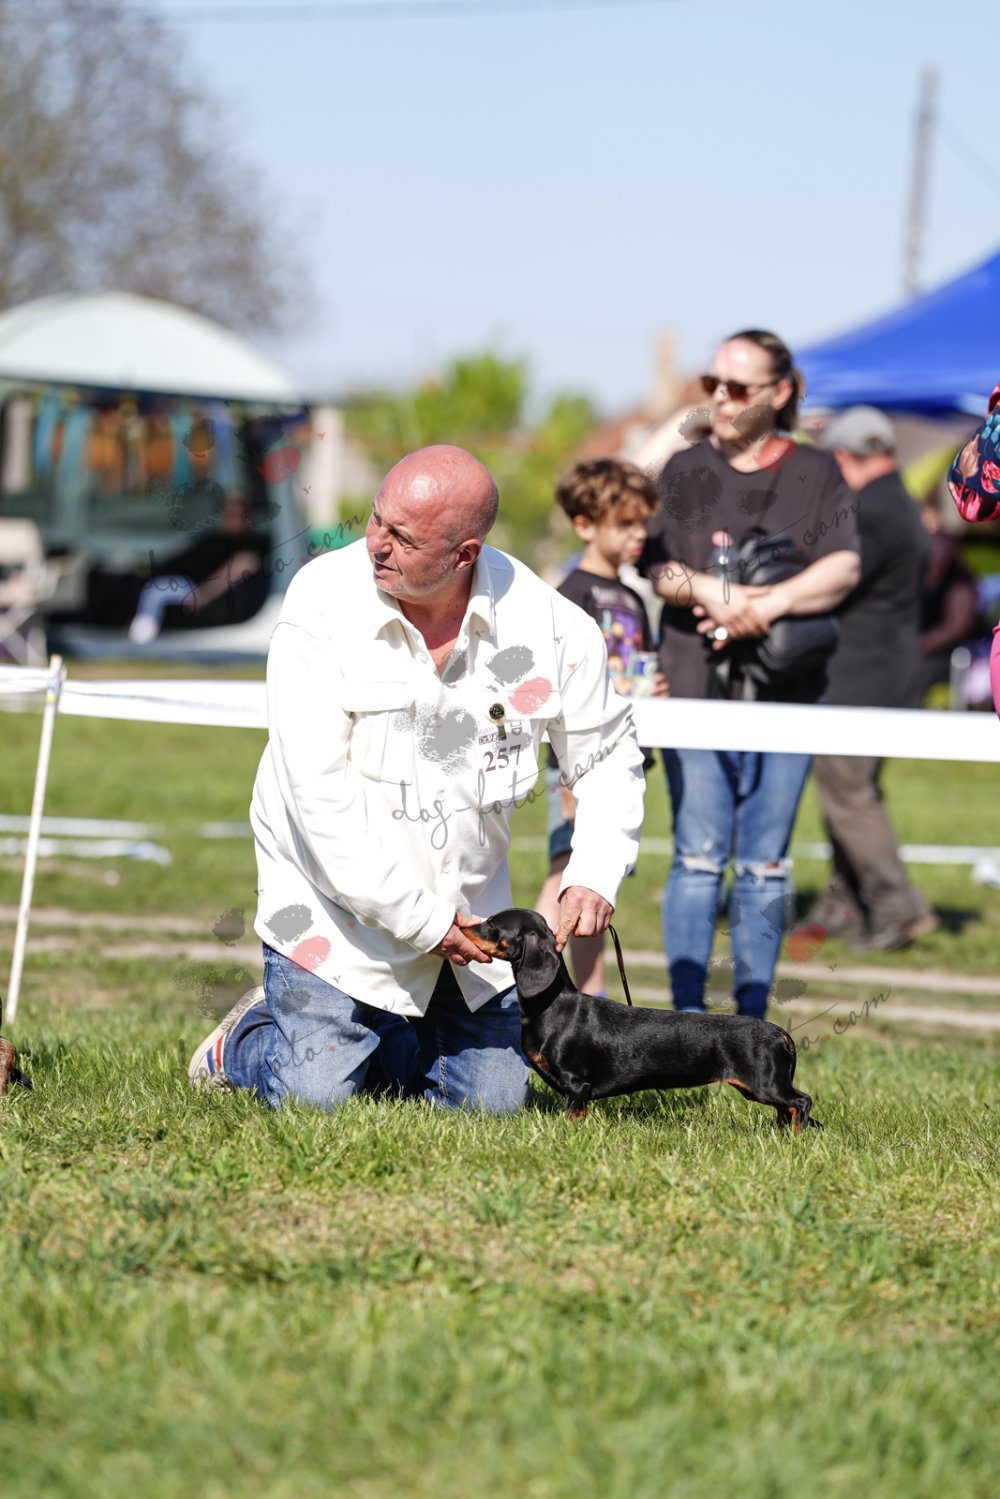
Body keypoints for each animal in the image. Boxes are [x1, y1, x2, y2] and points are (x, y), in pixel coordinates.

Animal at [465, 909, 819, 1132]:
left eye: (493, 924)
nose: (463, 925)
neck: (553, 1006)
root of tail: (780, 1033)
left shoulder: (577, 1084)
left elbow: (572, 1116)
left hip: (766, 1085)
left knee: (801, 1102)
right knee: (787, 1110)